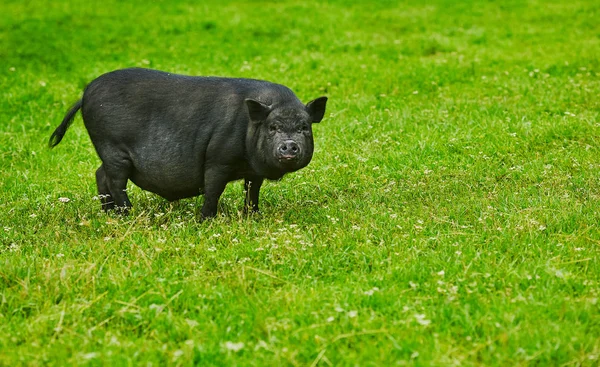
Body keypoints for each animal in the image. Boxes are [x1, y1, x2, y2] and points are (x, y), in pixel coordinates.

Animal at [48, 68, 326, 220]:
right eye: (273, 127)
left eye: (304, 127)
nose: (289, 145)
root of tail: (85, 94)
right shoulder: (217, 158)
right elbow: (213, 189)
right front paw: (206, 220)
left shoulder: (253, 170)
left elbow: (252, 191)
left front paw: (253, 216)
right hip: (112, 147)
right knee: (115, 181)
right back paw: (128, 214)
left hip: (108, 154)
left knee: (99, 174)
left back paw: (109, 214)